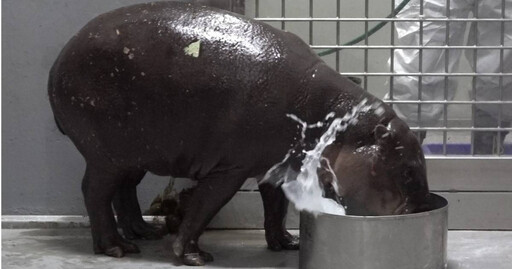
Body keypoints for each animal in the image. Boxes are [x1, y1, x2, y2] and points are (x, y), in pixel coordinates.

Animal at [50, 1, 430, 266]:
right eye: (407, 170)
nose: (419, 209)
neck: (337, 122)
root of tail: (58, 61)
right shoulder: (229, 169)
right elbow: (204, 207)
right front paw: (194, 257)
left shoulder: (275, 167)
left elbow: (275, 207)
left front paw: (287, 243)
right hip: (106, 154)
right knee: (95, 192)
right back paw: (117, 248)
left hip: (135, 151)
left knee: (124, 190)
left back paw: (145, 233)